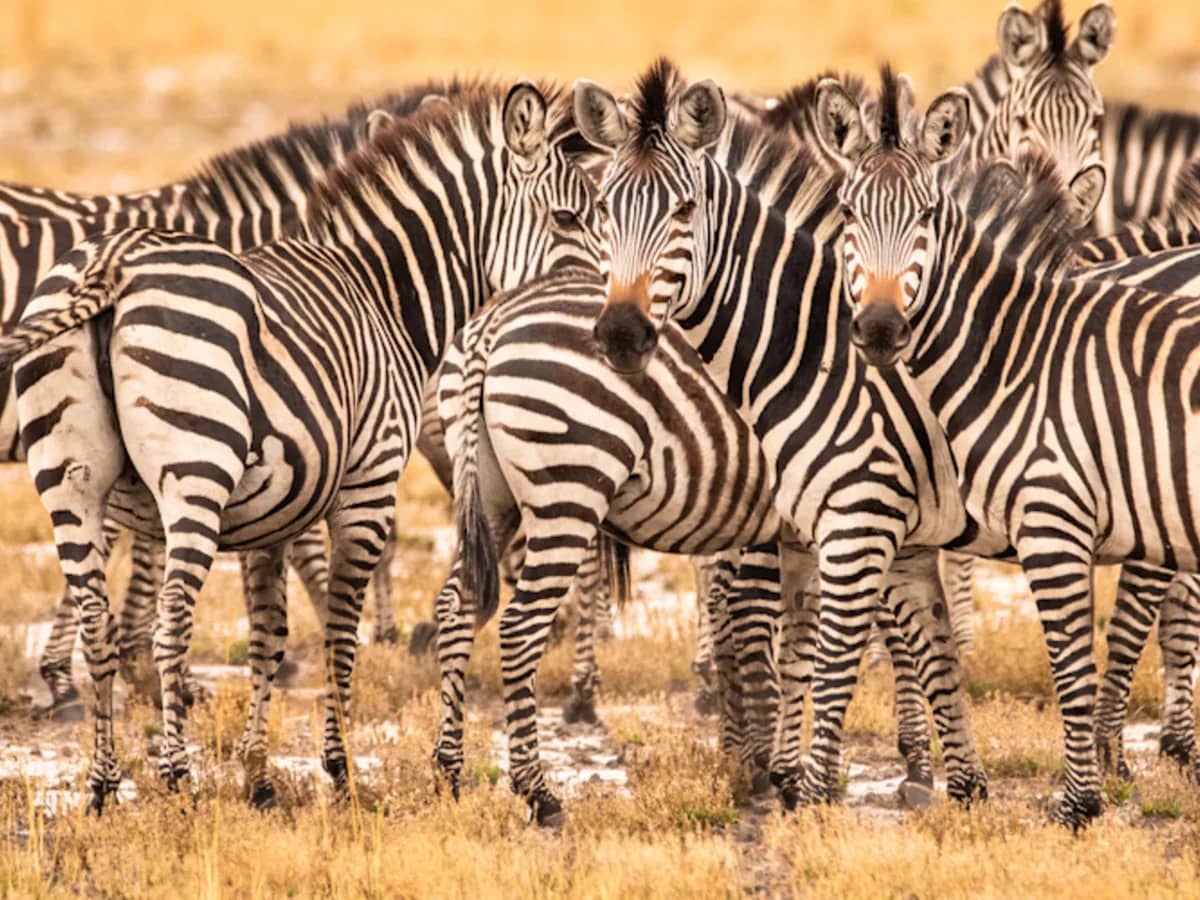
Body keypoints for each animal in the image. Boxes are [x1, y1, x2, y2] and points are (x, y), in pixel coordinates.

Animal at [827, 67, 1200, 828]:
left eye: (927, 217)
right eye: (847, 214)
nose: (878, 329)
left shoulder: (1068, 516)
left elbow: (1078, 658)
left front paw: (1083, 801)